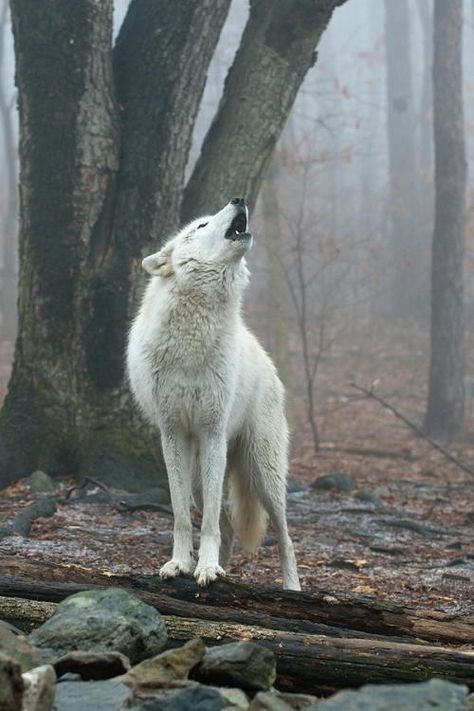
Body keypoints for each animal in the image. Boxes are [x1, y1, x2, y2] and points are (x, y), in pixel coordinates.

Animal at [127, 199, 300, 588]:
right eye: (201, 225)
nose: (239, 199)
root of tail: (269, 363)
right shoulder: (173, 434)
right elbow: (180, 516)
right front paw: (181, 564)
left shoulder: (212, 432)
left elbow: (206, 524)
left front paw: (205, 567)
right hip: (201, 474)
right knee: (227, 524)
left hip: (263, 472)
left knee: (284, 536)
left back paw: (292, 588)